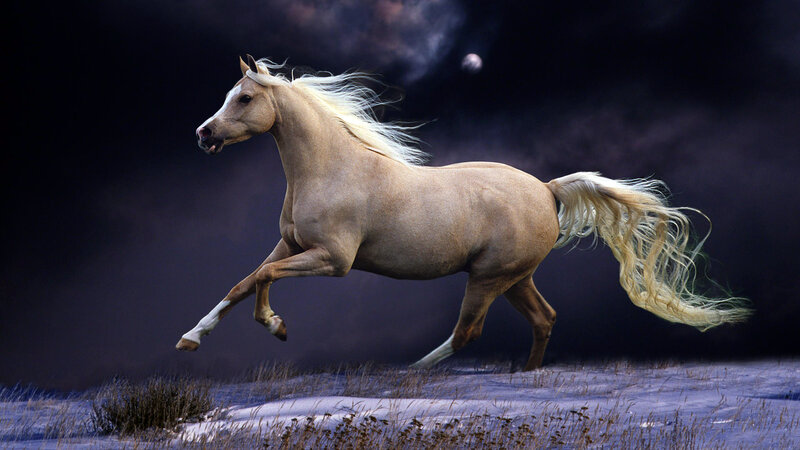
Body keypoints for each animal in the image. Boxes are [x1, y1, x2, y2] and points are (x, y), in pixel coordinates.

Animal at [175, 55, 750, 370]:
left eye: (244, 98)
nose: (203, 134)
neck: (331, 169)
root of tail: (548, 190)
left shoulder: (332, 260)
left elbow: (262, 279)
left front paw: (276, 327)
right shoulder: (291, 245)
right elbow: (243, 281)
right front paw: (190, 339)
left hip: (489, 277)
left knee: (468, 333)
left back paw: (407, 373)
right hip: (515, 277)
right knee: (544, 318)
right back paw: (525, 376)